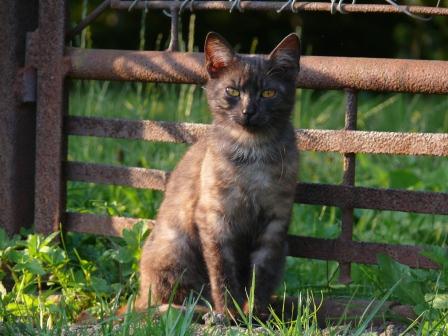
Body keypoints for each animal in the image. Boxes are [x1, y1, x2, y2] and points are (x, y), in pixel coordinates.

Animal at [135, 32, 300, 318]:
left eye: (268, 92)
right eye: (232, 91)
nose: (248, 111)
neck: (252, 153)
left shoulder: (275, 221)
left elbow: (261, 272)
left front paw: (255, 312)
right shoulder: (214, 219)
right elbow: (222, 270)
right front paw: (231, 311)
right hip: (175, 246)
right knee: (158, 302)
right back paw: (198, 310)